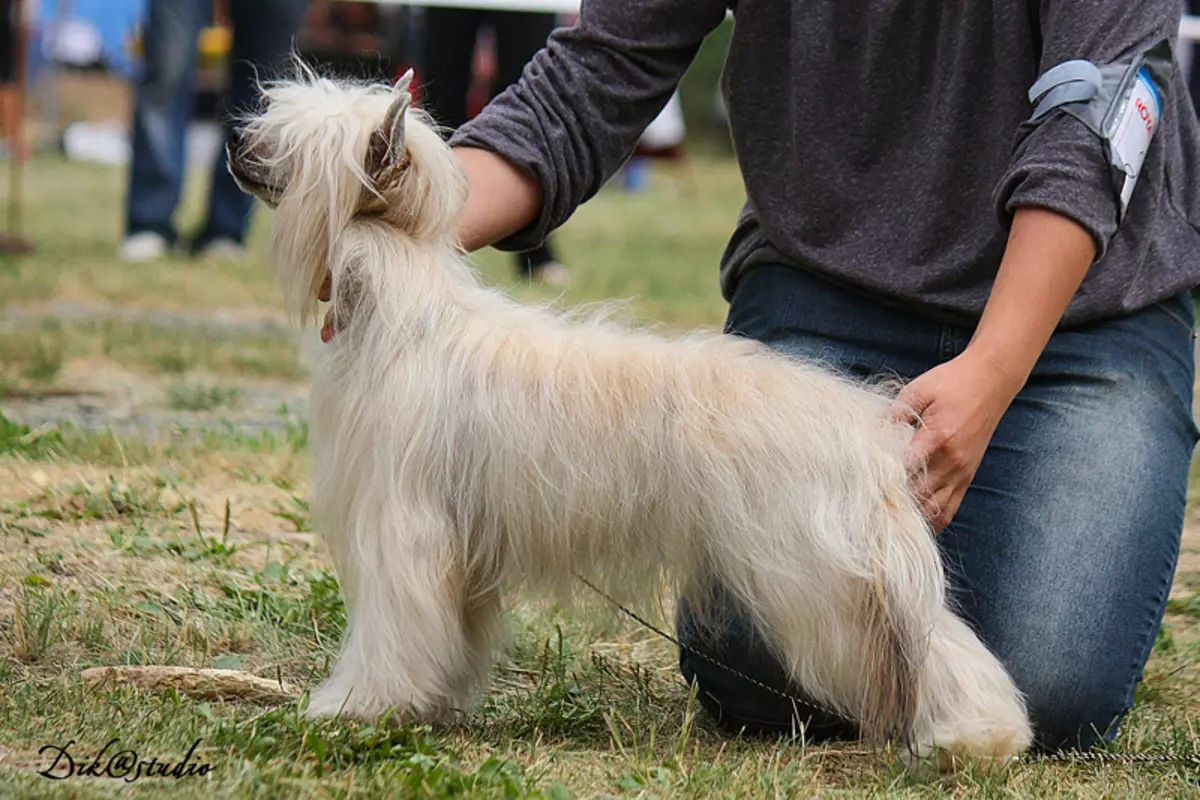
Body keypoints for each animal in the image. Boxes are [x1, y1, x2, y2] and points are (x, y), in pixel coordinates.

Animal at [229, 65, 1036, 767]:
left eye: (292, 146)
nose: (236, 145)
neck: (404, 311)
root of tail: (870, 428)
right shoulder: (460, 552)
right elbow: (449, 639)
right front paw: (432, 702)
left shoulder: (402, 532)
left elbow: (390, 634)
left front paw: (356, 705)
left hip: (813, 575)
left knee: (921, 646)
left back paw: (970, 738)